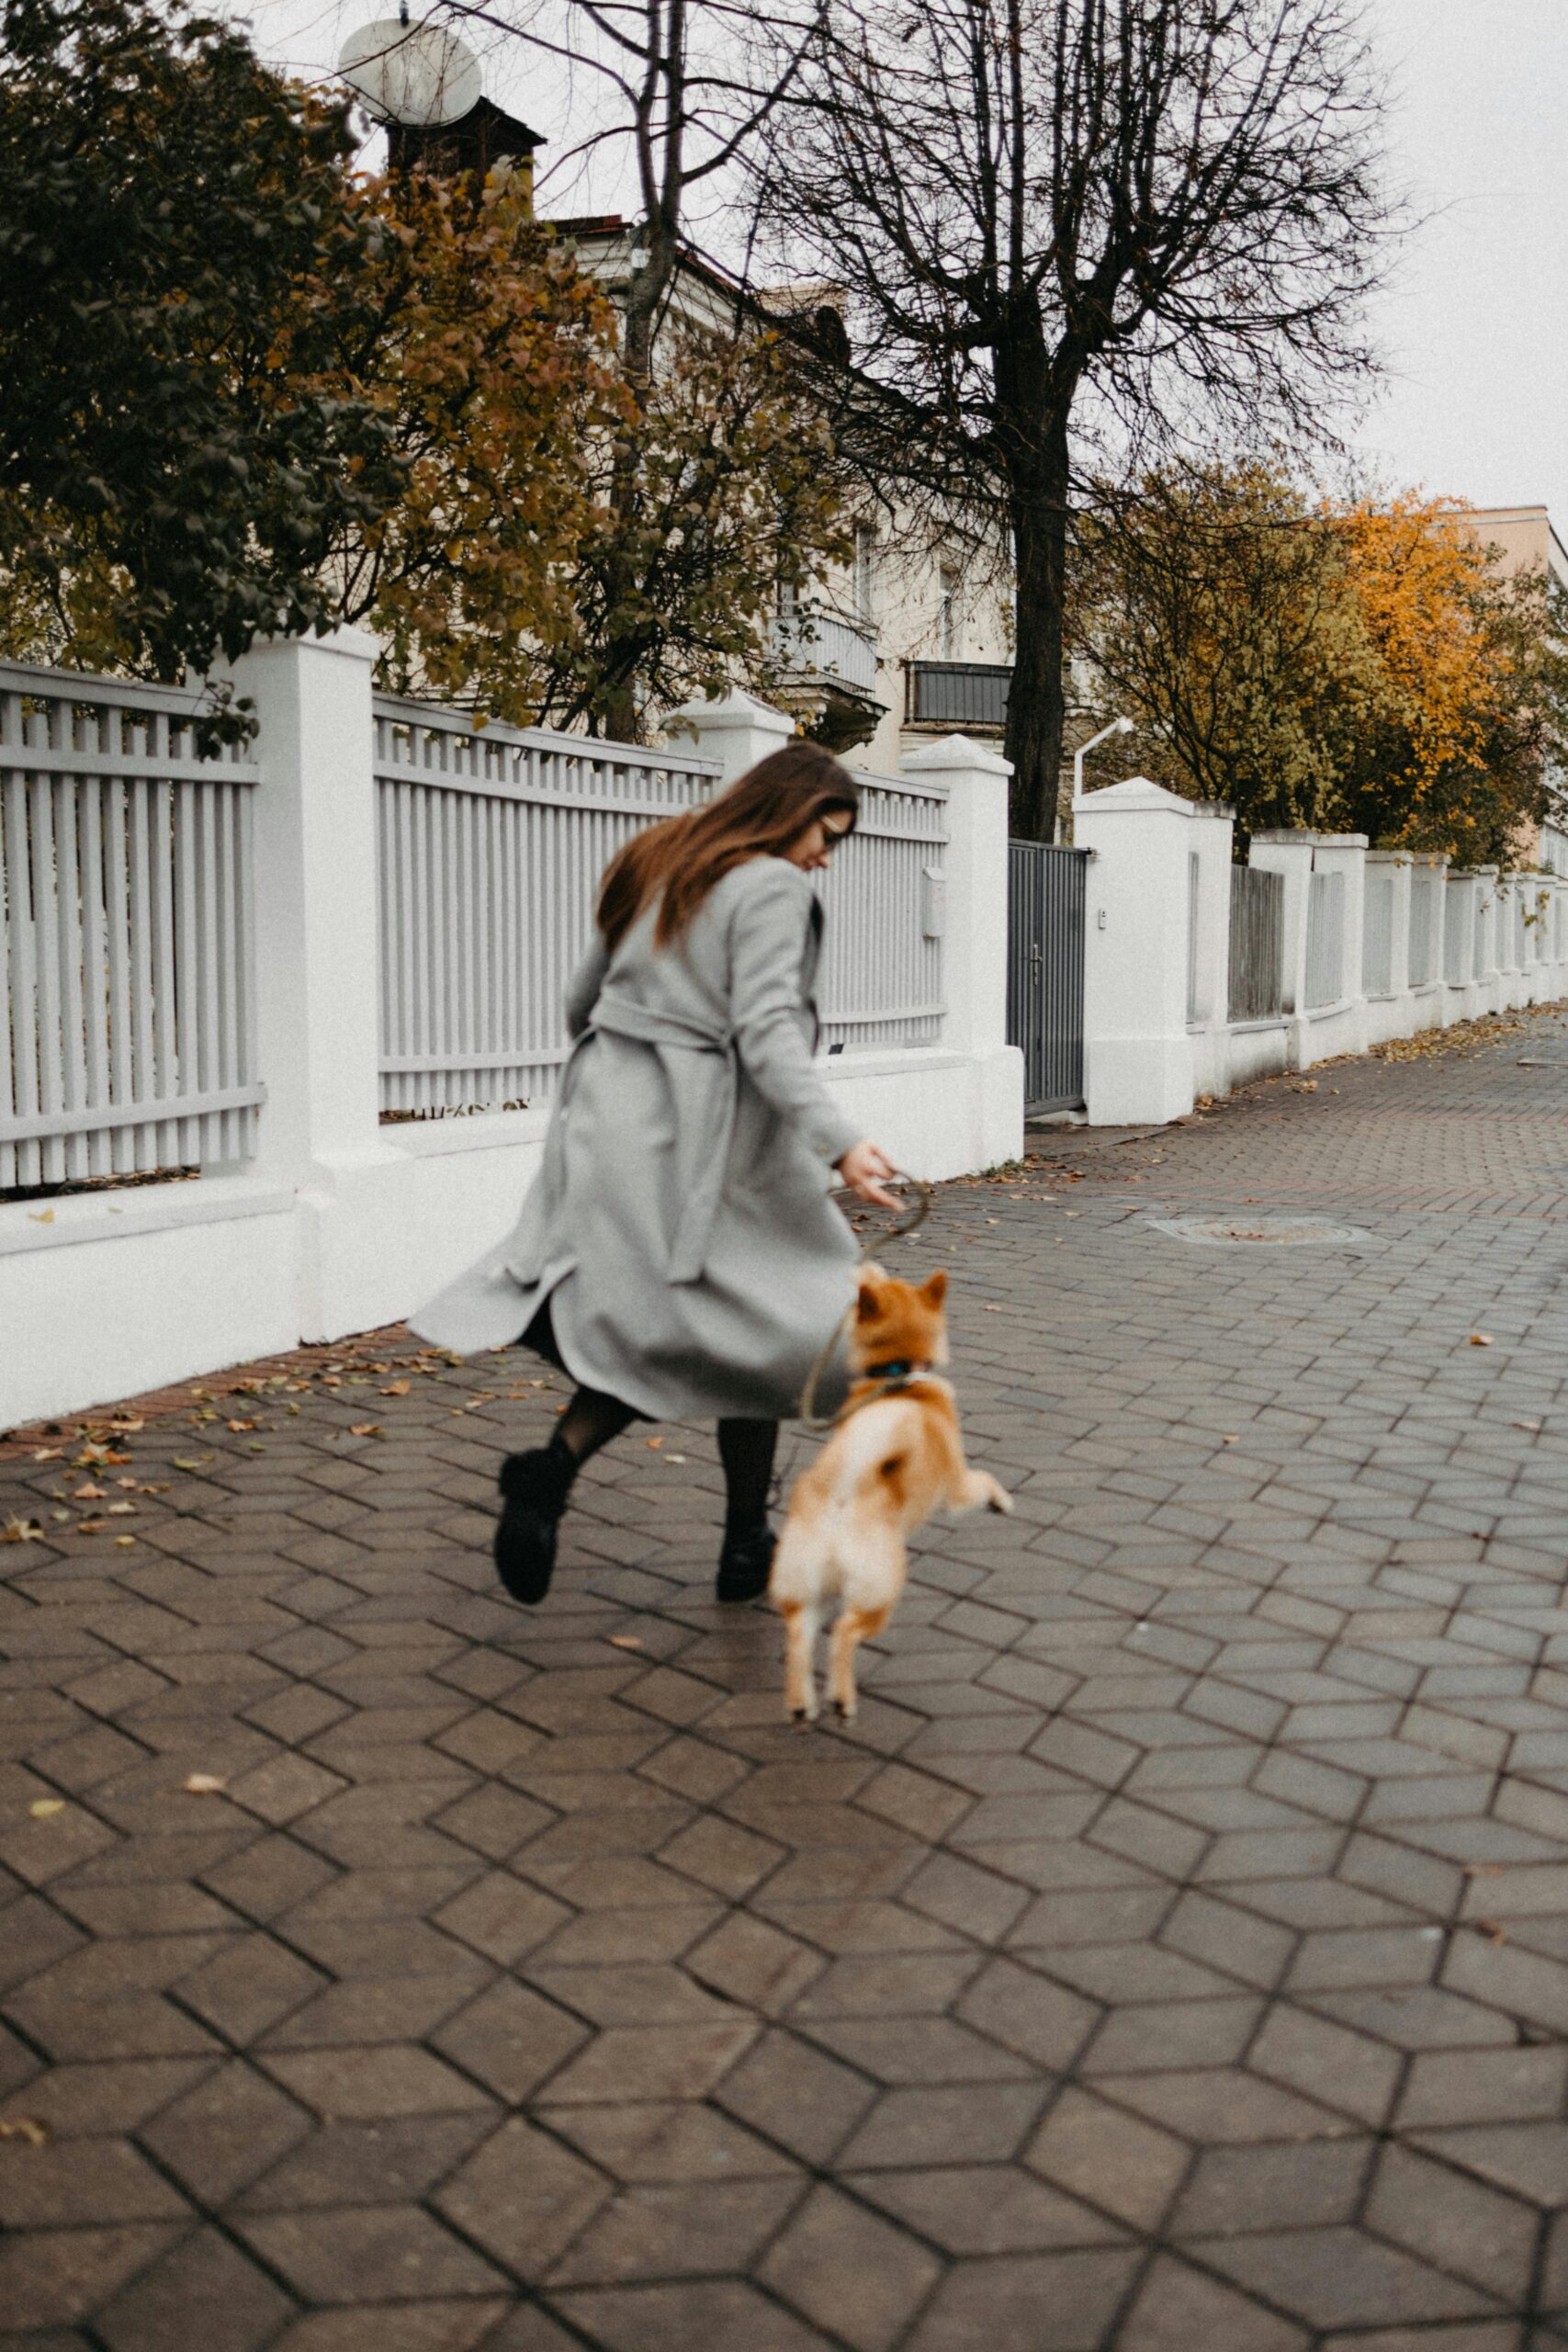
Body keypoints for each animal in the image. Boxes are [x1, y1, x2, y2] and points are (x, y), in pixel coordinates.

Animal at [771, 1261, 1010, 1721]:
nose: (865, 1266)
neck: (899, 1376)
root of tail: (842, 1495)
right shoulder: (957, 1487)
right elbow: (985, 1479)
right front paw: (1001, 1501)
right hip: (880, 1588)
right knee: (844, 1631)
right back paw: (841, 1699)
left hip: (807, 1586)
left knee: (798, 1634)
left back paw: (800, 1704)